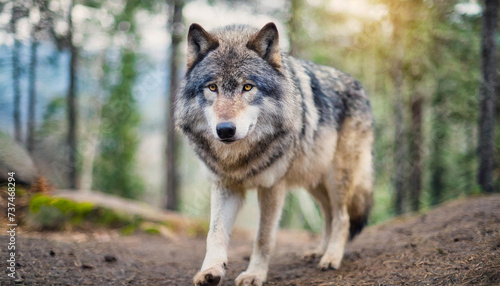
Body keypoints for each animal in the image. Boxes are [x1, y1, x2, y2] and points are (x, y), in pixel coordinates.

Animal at [174, 21, 374, 284]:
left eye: (248, 87)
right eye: (212, 87)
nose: (225, 130)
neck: (238, 158)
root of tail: (361, 87)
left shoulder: (272, 187)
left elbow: (263, 237)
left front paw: (254, 274)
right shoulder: (225, 185)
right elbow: (214, 233)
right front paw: (211, 271)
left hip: (336, 177)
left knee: (342, 217)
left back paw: (331, 258)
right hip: (314, 181)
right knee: (329, 214)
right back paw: (319, 251)